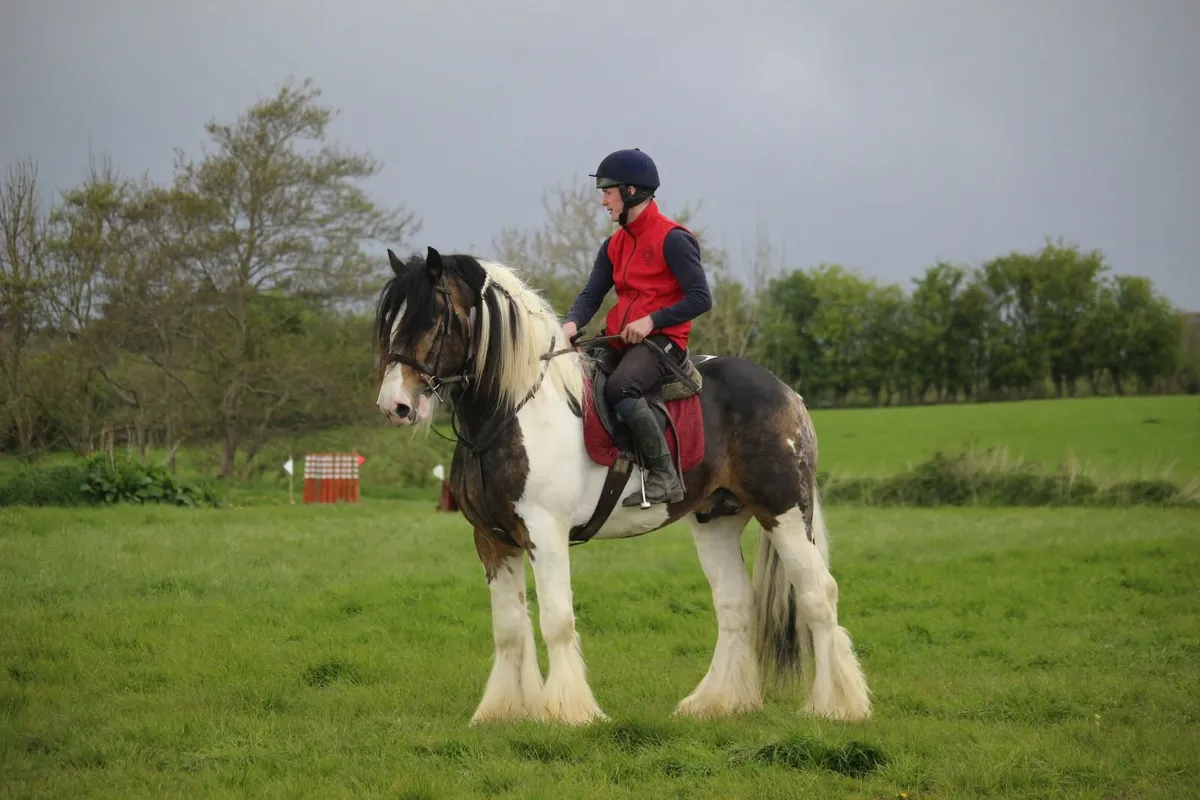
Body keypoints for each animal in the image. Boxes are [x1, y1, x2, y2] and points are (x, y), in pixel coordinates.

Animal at [372, 246, 872, 726]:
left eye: (432, 318)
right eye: (391, 323)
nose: (394, 405)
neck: (513, 411)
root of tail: (787, 393)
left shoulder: (545, 534)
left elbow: (557, 621)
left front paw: (568, 712)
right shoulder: (492, 541)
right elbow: (510, 629)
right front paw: (503, 711)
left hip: (783, 512)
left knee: (818, 595)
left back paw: (838, 705)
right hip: (716, 520)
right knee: (735, 604)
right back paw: (717, 702)